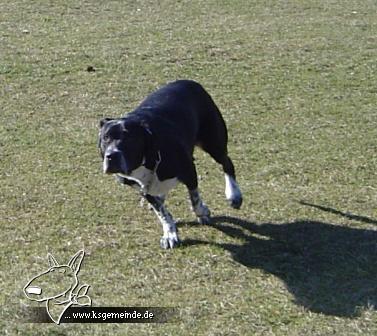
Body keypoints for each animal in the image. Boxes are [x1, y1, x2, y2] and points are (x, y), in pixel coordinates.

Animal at [98, 80, 242, 249]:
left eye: (129, 138)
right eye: (105, 138)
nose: (111, 156)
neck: (150, 157)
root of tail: (191, 82)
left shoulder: (189, 170)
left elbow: (195, 199)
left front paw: (202, 212)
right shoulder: (143, 188)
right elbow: (162, 212)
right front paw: (170, 234)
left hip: (213, 142)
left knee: (227, 162)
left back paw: (234, 194)